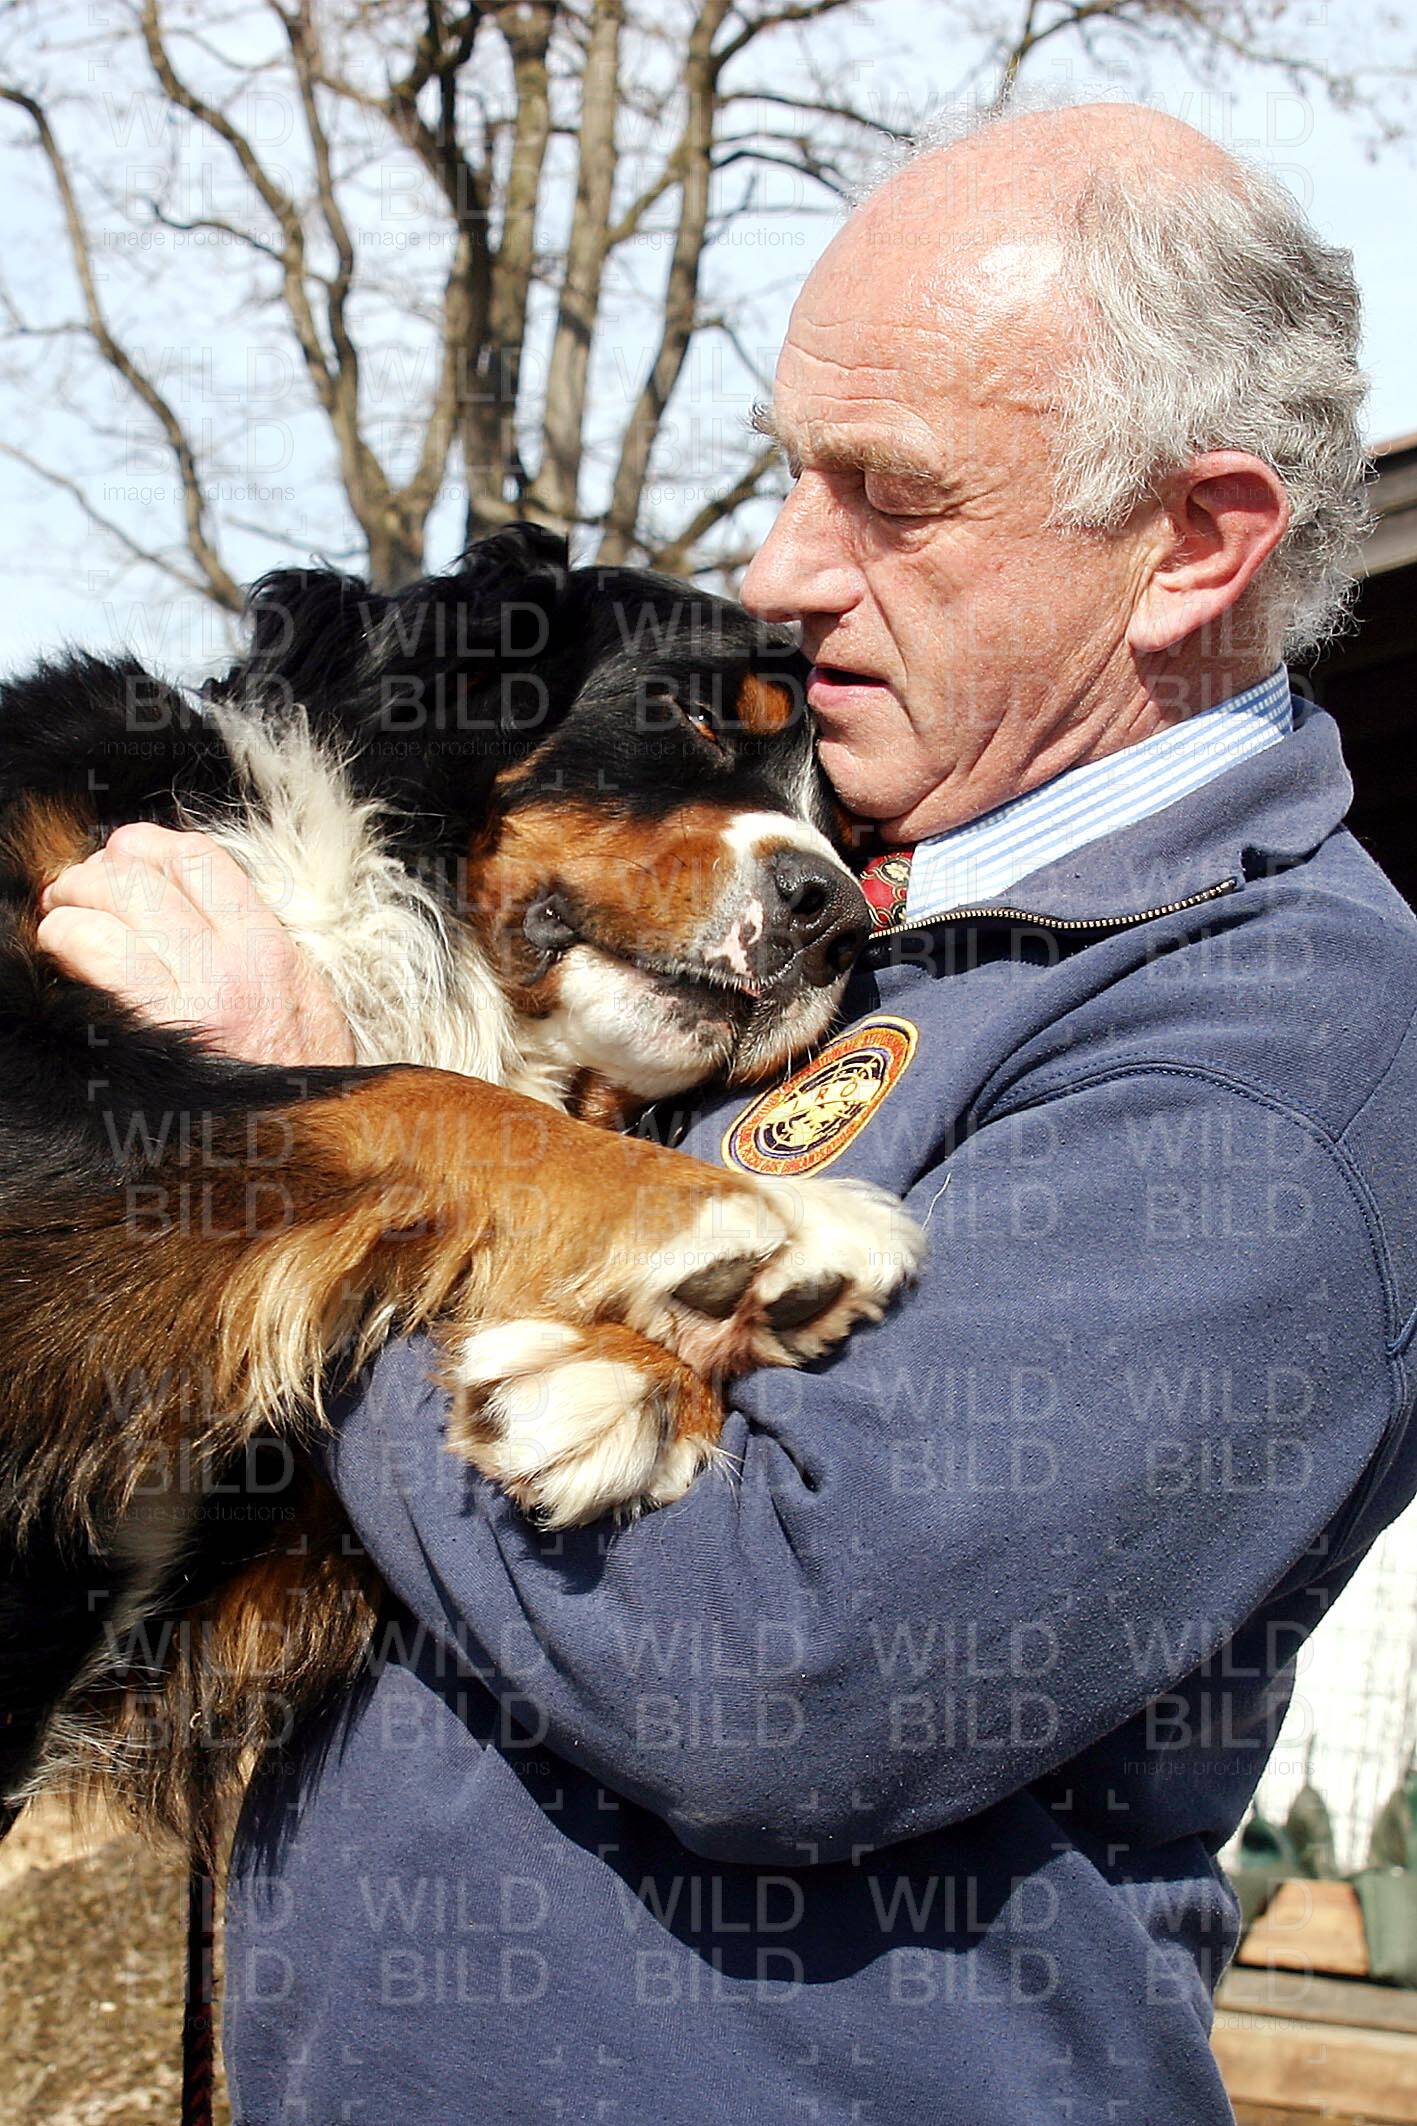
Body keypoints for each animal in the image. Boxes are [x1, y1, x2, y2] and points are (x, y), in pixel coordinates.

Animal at [0, 523, 922, 1858]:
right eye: (695, 711)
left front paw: (617, 1373)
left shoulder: (190, 1596)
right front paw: (768, 1221)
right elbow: (403, 1095)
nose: (835, 918)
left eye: (851, 835)